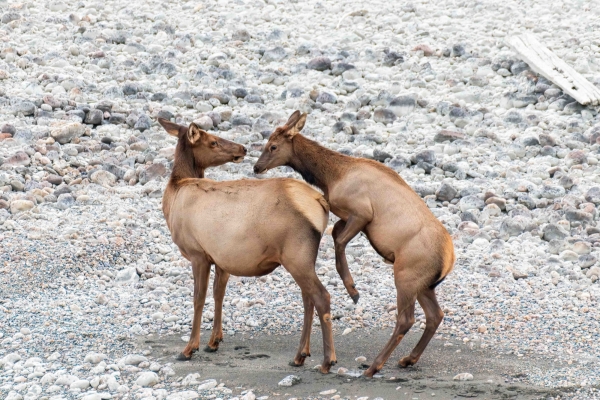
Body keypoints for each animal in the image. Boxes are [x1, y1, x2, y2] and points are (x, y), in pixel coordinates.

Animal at [157, 117, 338, 374]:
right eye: (213, 141)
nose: (242, 148)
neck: (174, 193)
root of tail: (320, 201)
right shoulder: (220, 257)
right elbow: (218, 293)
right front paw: (213, 342)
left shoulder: (197, 253)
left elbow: (198, 298)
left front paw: (189, 348)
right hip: (303, 258)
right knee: (308, 298)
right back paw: (300, 355)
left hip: (296, 255)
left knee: (321, 296)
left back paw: (327, 360)